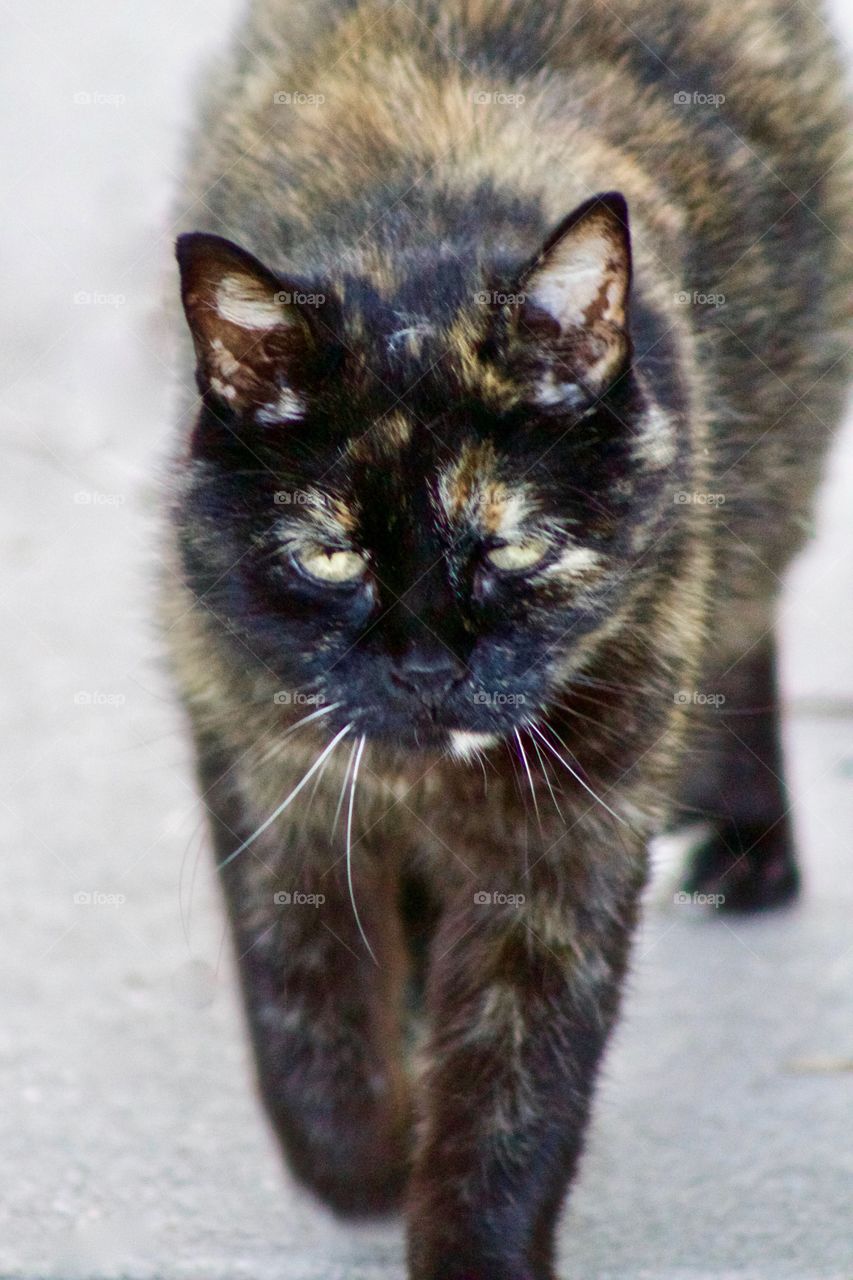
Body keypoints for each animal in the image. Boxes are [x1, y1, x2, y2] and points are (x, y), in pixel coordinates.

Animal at [162, 5, 845, 1274]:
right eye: (332, 556)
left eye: (512, 544)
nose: (429, 665)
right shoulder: (263, 767)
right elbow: (303, 1008)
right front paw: (364, 1157)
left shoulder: (561, 853)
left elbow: (512, 1095)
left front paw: (466, 1229)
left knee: (746, 623)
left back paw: (749, 849)